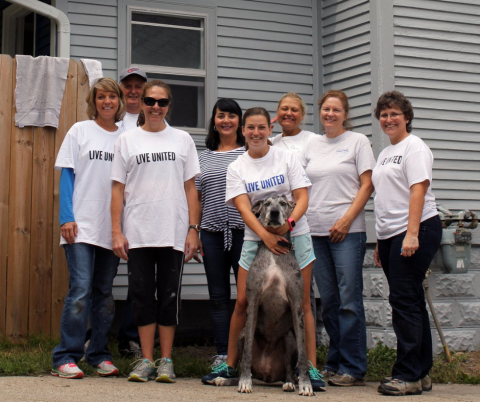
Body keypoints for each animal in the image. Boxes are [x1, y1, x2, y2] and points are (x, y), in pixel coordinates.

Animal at [237, 196, 316, 396]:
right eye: (266, 204)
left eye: (283, 203)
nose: (274, 213)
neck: (274, 253)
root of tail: (267, 375)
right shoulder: (253, 302)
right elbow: (248, 350)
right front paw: (245, 382)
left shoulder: (296, 305)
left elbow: (303, 353)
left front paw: (306, 384)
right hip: (241, 335)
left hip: (288, 339)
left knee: (289, 368)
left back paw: (289, 383)